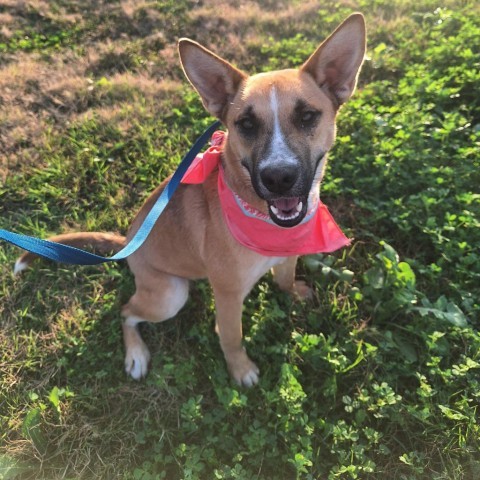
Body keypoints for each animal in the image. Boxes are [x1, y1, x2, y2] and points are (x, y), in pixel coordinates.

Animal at [15, 13, 368, 388]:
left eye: (307, 116)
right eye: (245, 123)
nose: (278, 178)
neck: (260, 220)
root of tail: (127, 242)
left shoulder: (288, 255)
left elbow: (284, 279)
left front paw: (294, 294)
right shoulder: (228, 297)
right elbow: (231, 337)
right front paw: (240, 370)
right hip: (170, 295)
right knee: (125, 312)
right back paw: (136, 354)